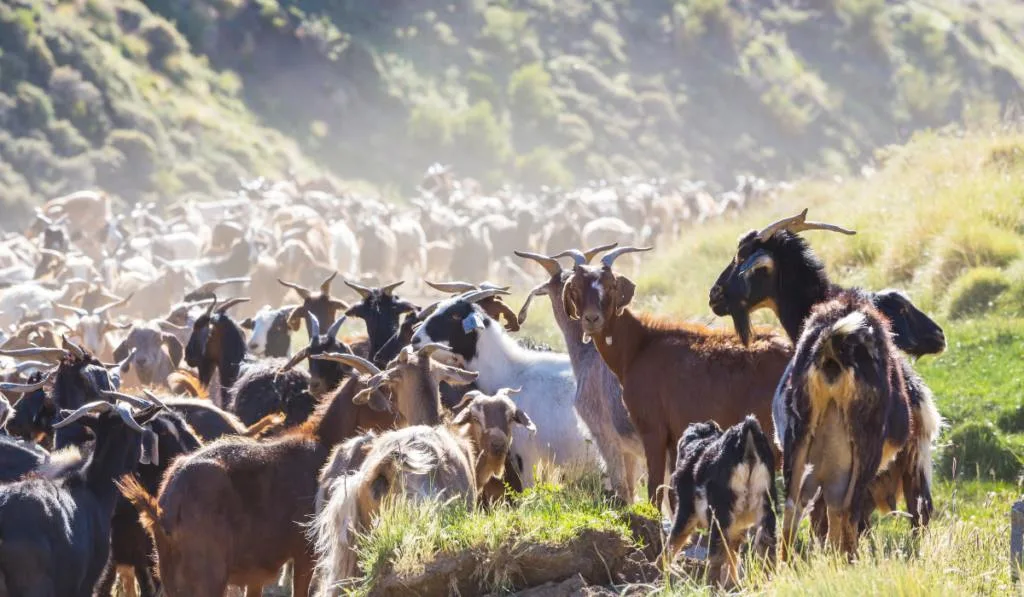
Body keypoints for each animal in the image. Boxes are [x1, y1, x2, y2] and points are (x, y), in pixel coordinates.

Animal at [561, 245, 790, 507]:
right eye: (575, 287)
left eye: (610, 286)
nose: (592, 319)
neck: (641, 344)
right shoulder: (674, 436)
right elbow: (671, 491)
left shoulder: (653, 428)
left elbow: (655, 488)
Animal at [663, 415, 774, 589]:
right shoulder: (736, 527)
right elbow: (732, 554)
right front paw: (733, 584)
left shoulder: (686, 510)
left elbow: (674, 540)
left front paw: (662, 570)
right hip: (766, 510)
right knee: (767, 547)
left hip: (718, 515)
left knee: (715, 556)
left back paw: (711, 587)